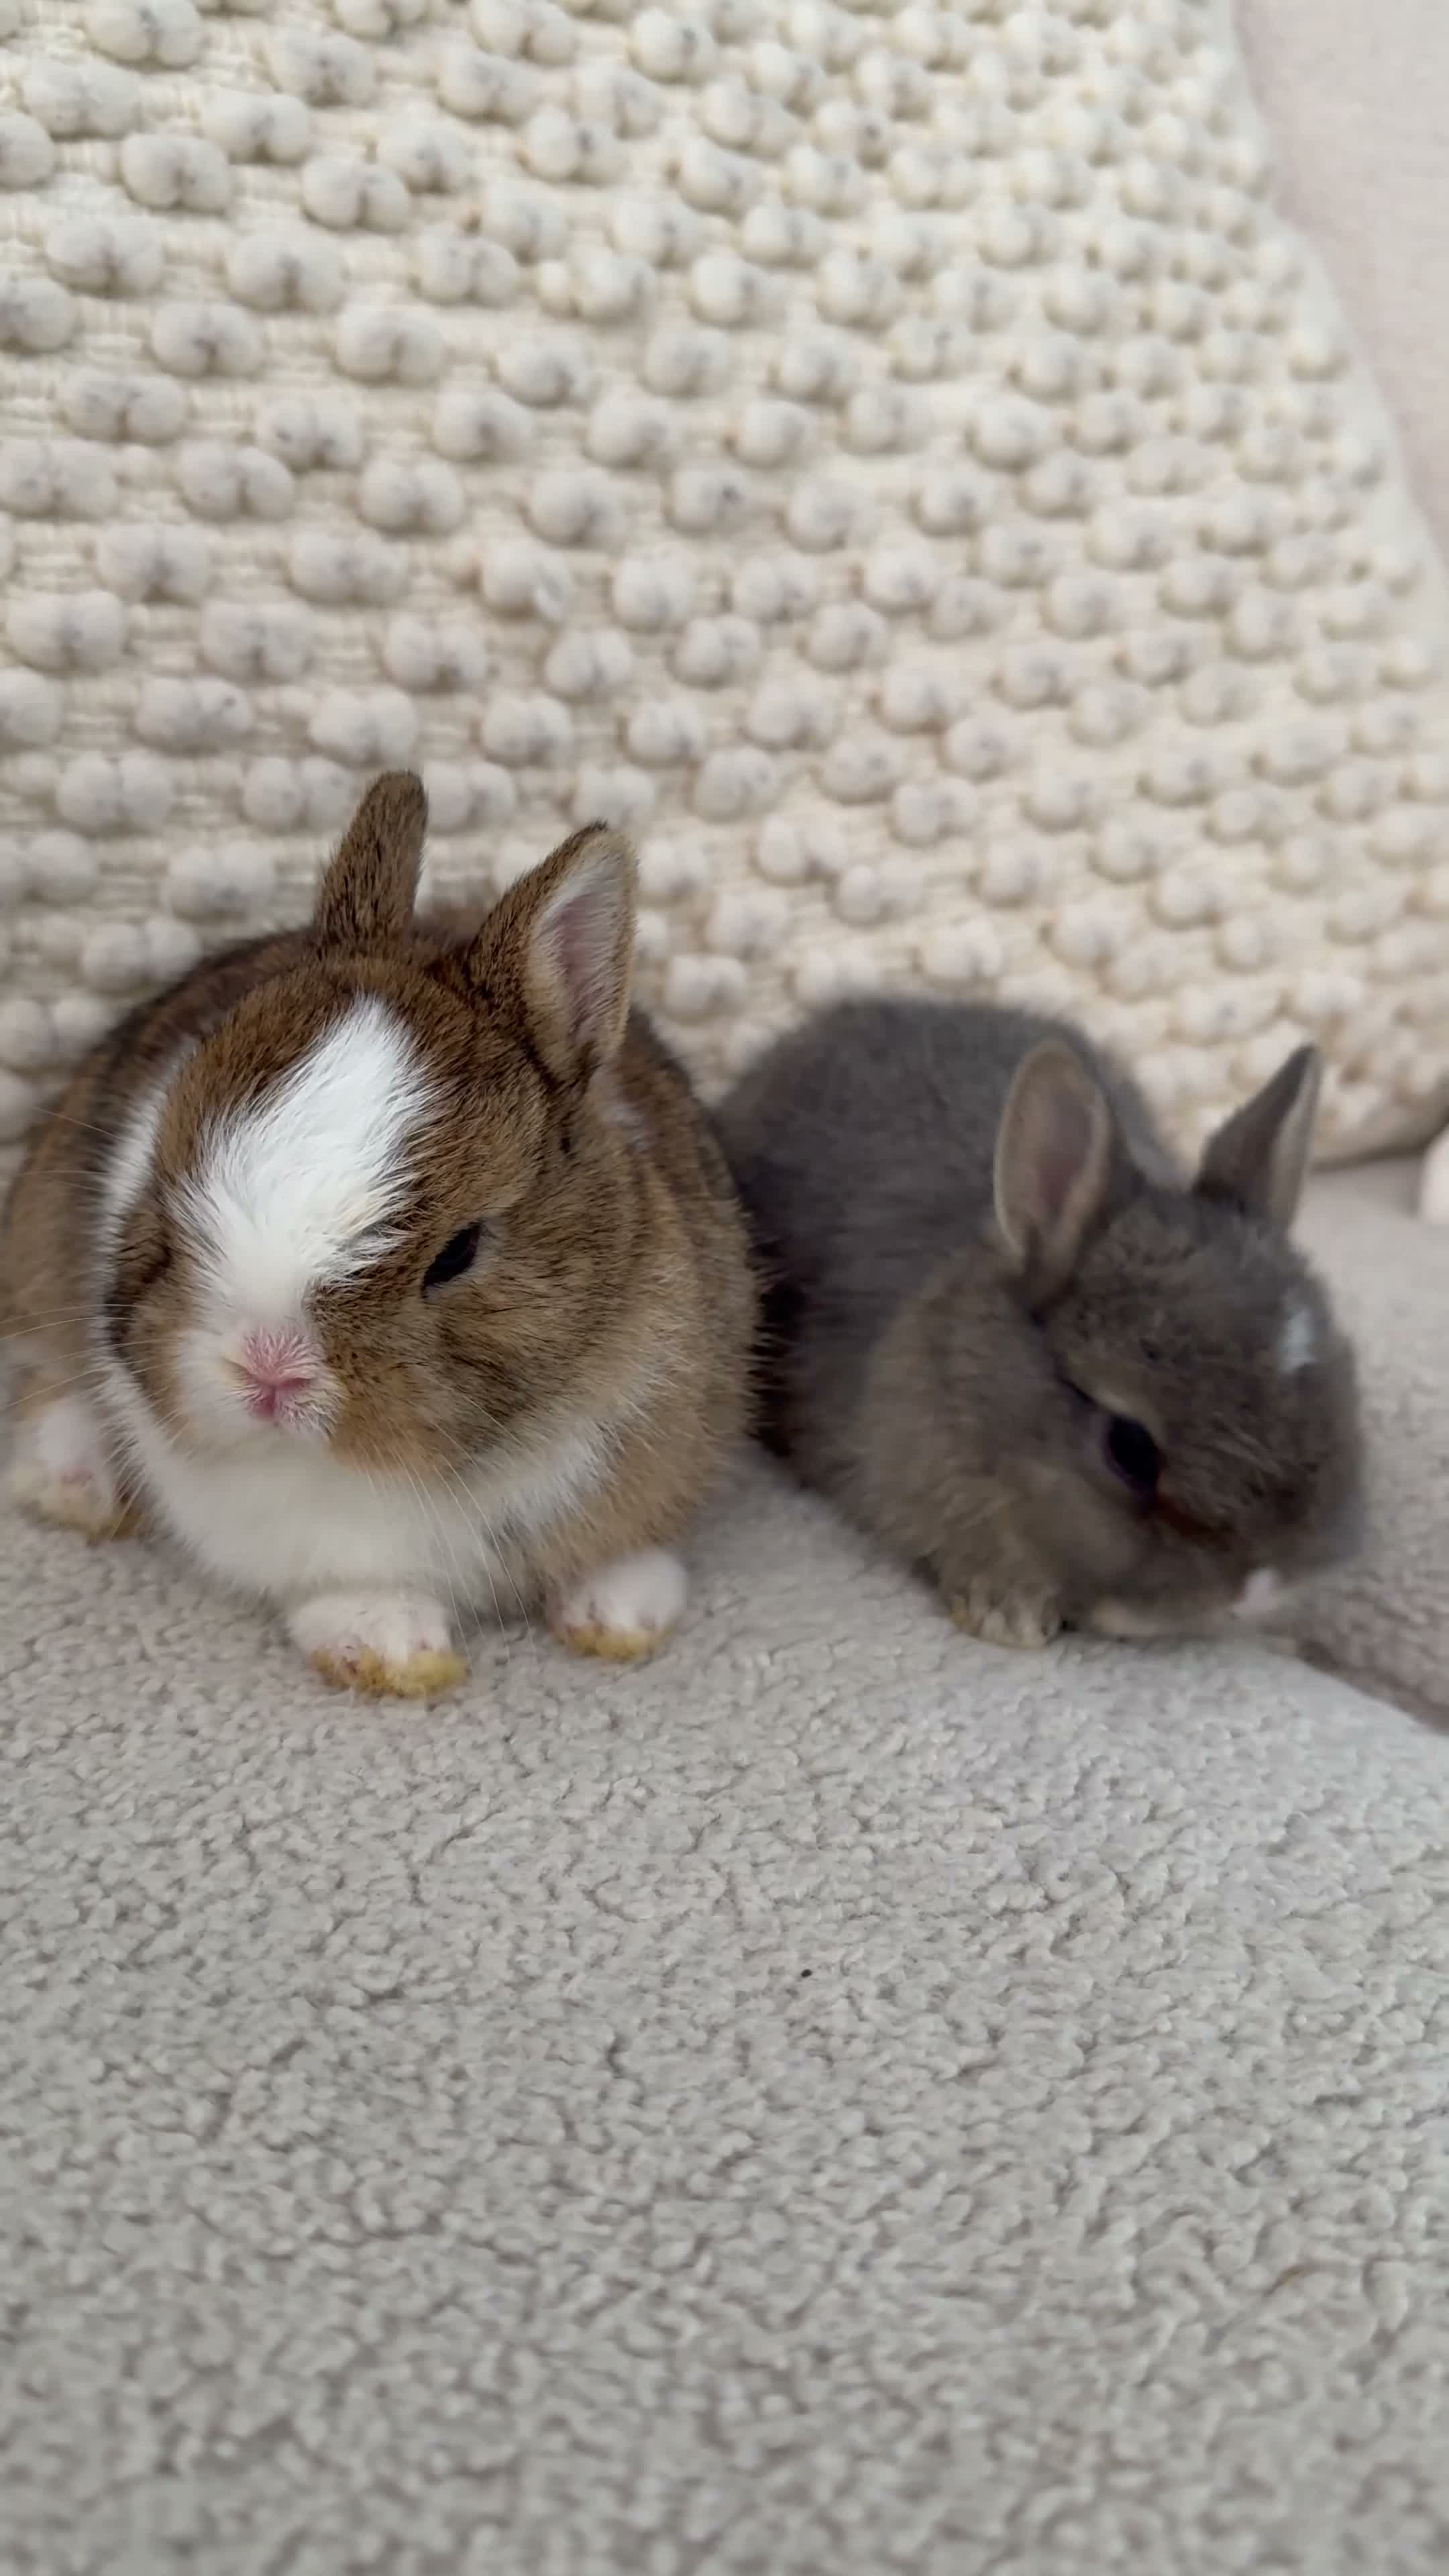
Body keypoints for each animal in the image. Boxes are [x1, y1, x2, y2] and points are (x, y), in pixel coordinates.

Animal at [1, 774, 755, 1699]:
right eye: (162, 1173)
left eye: (459, 1251)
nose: (267, 1372)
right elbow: (345, 1586)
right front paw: (391, 1649)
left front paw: (620, 1617)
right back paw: (76, 1484)